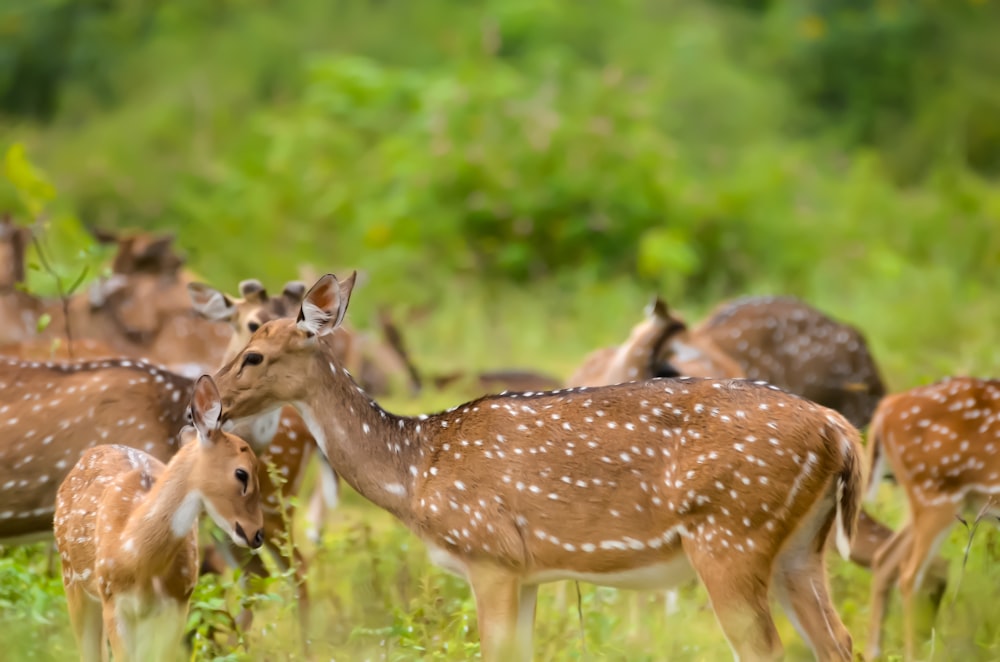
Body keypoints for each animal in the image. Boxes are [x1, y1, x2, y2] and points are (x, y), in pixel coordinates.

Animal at [53, 376, 266, 662]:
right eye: (242, 473)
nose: (257, 534)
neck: (135, 556)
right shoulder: (113, 601)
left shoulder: (178, 602)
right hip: (73, 581)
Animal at [213, 272, 868, 660]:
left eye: (254, 354)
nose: (206, 402)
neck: (414, 470)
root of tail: (841, 433)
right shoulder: (526, 573)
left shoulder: (489, 554)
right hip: (798, 550)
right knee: (839, 641)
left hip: (733, 534)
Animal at [860, 378, 1000, 662]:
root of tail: (887, 407)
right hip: (935, 493)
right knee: (909, 575)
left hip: (930, 502)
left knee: (885, 558)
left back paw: (873, 653)